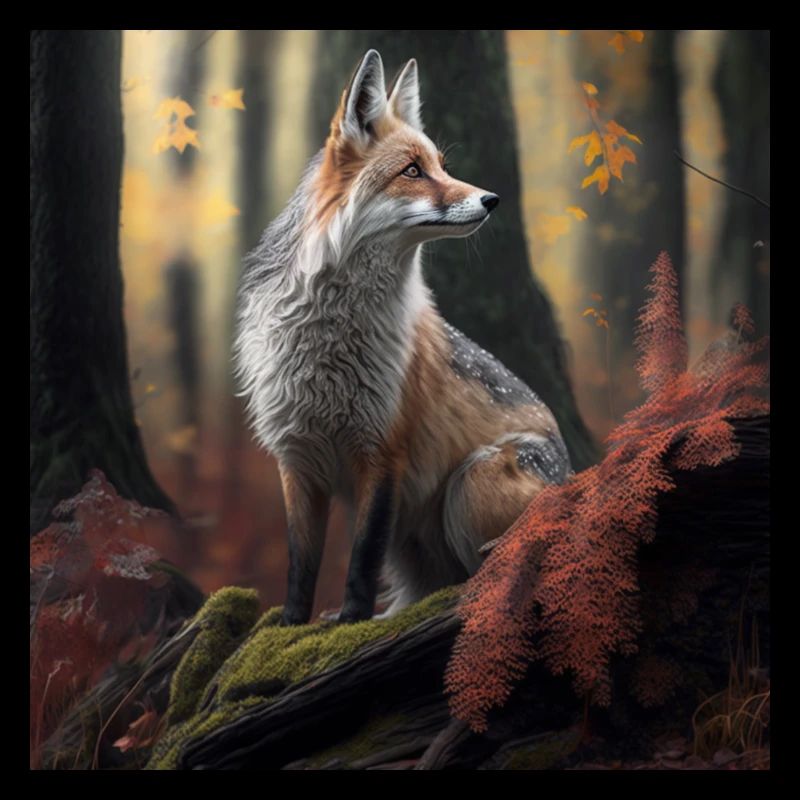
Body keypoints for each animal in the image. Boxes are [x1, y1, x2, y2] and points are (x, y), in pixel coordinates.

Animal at [233, 49, 572, 626]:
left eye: (441, 165)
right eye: (413, 171)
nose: (493, 198)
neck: (330, 344)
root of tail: (578, 474)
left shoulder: (383, 449)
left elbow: (362, 554)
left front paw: (349, 619)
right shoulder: (295, 454)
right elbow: (302, 560)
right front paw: (293, 625)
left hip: (471, 480)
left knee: (494, 564)